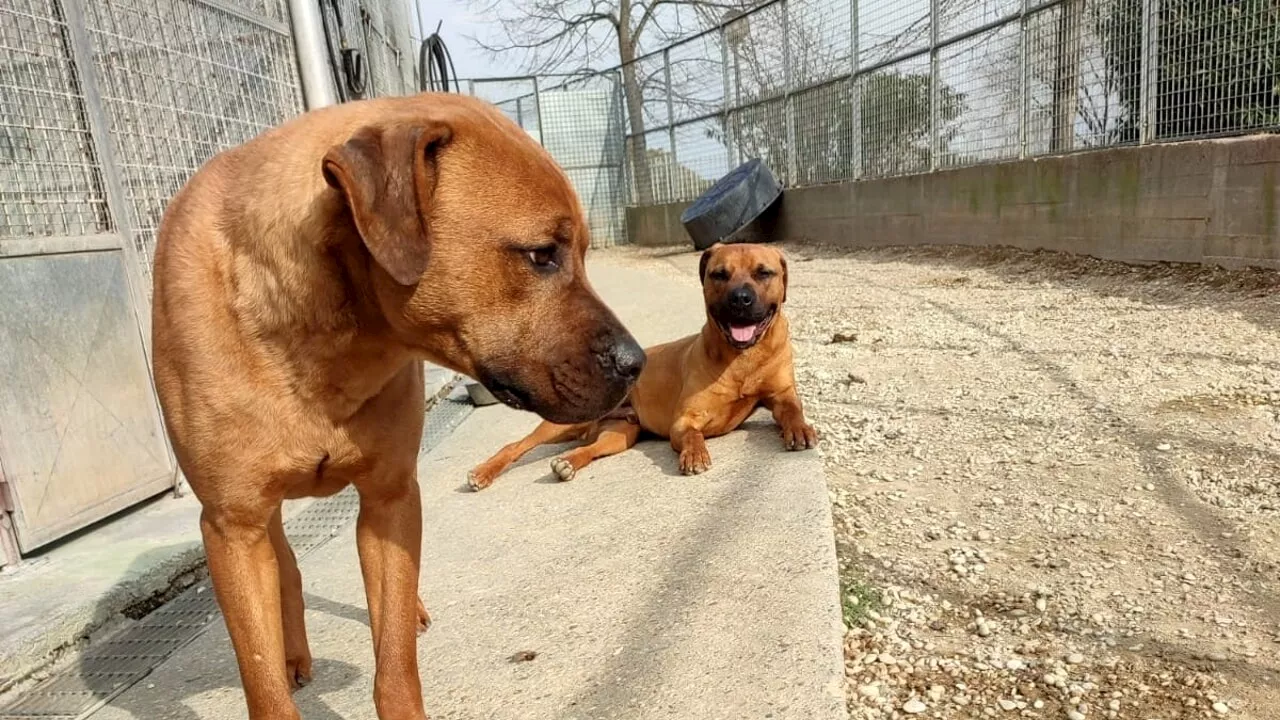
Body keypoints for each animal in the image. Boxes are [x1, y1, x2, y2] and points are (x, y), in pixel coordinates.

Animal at [151, 92, 645, 712]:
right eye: (541, 255)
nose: (636, 362)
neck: (323, 342)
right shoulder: (231, 526)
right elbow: (262, 679)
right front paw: (279, 662)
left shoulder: (391, 498)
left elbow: (394, 661)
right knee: (284, 562)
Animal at [465, 242, 814, 486]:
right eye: (719, 274)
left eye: (763, 272)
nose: (740, 299)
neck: (742, 357)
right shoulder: (684, 420)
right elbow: (692, 435)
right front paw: (694, 453)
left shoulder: (781, 394)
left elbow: (792, 409)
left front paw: (800, 428)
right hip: (559, 425)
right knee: (515, 446)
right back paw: (483, 472)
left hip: (620, 434)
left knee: (593, 448)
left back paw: (568, 463)